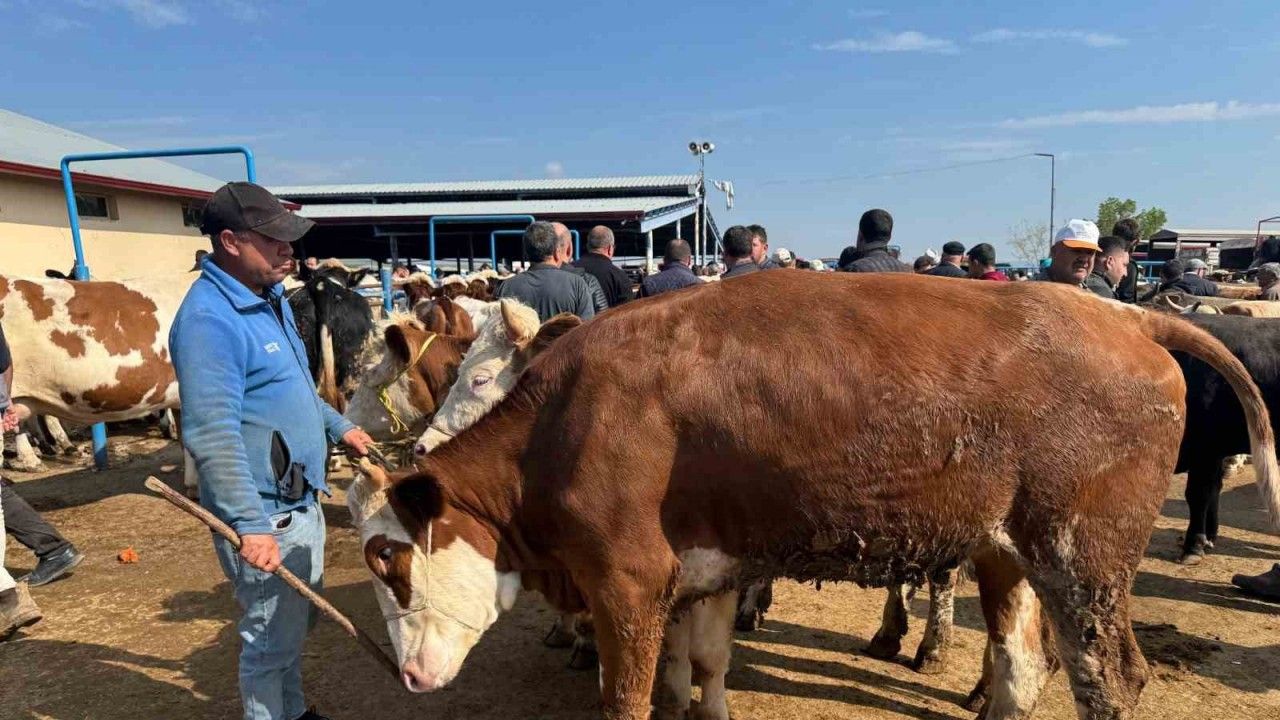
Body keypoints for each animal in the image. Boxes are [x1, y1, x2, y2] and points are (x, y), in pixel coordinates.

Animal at [348, 272, 1279, 720]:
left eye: (390, 560)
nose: (408, 677)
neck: (569, 414)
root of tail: (1122, 316)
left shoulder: (627, 582)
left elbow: (630, 698)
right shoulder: (705, 569)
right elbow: (704, 669)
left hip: (1084, 564)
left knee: (1107, 679)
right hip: (1009, 554)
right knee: (1021, 671)